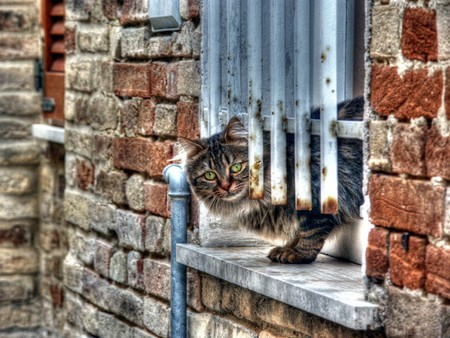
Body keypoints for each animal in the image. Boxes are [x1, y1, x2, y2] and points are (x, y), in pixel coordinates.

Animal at [178, 96, 364, 262]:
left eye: (236, 167)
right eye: (210, 175)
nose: (226, 186)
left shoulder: (315, 199)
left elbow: (310, 231)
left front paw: (299, 253)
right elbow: (298, 232)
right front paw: (288, 247)